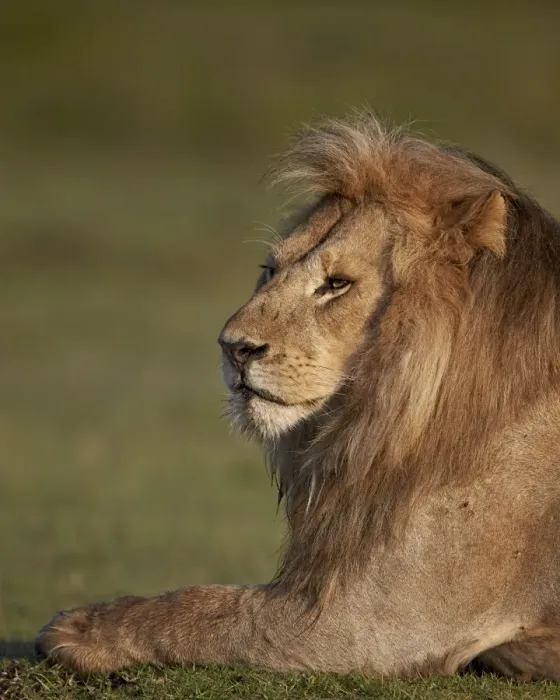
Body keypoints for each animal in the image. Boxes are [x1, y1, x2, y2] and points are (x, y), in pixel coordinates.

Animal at [36, 112, 560, 680]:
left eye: (337, 284)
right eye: (270, 269)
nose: (234, 347)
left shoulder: (377, 619)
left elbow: (212, 610)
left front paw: (78, 628)